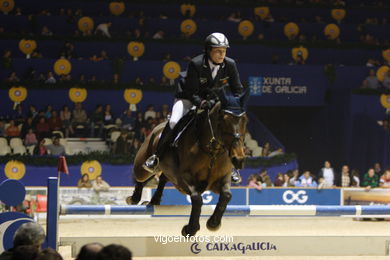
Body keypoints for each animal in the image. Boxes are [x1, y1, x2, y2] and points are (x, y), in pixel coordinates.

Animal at [128, 96, 248, 237]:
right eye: (223, 121)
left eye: (245, 121)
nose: (238, 159)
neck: (212, 151)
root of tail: (157, 128)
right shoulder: (184, 178)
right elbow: (197, 198)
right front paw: (190, 229)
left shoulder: (221, 179)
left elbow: (226, 195)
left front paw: (213, 223)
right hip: (143, 166)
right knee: (141, 178)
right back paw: (134, 198)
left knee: (162, 178)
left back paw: (154, 200)